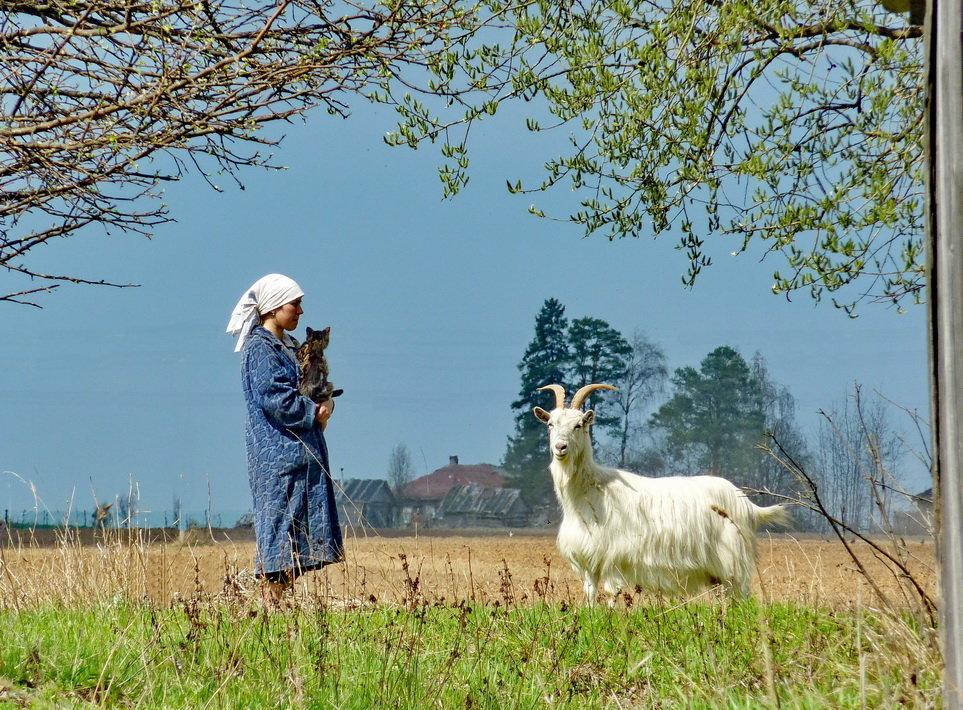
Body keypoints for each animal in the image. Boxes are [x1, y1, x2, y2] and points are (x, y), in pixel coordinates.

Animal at [536, 384, 792, 600]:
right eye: (550, 424)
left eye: (579, 425)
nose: (560, 447)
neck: (592, 489)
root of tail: (747, 504)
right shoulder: (589, 559)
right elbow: (589, 594)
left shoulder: (614, 557)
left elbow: (611, 593)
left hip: (732, 561)